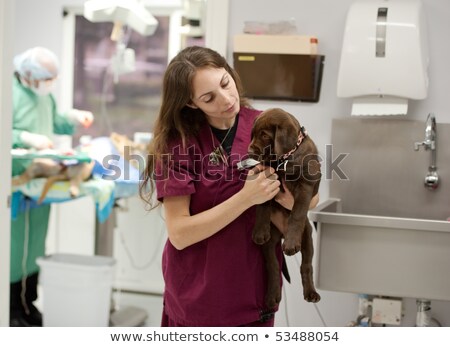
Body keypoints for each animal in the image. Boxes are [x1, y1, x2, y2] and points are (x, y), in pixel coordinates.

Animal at [243, 109, 320, 310]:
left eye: (264, 135)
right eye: (253, 134)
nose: (249, 152)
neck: (284, 159)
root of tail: (282, 235)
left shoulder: (305, 186)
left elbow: (297, 213)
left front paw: (292, 244)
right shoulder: (267, 177)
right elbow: (262, 207)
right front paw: (259, 231)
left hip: (307, 236)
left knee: (306, 266)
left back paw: (311, 293)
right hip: (270, 244)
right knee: (272, 267)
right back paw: (272, 297)